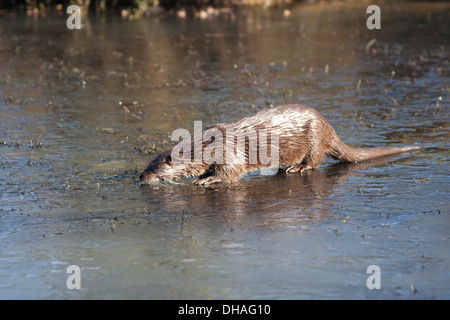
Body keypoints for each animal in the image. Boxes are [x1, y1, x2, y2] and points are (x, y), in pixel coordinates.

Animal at [139, 104, 420, 186]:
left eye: (153, 167)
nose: (140, 177)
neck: (207, 146)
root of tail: (327, 126)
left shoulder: (230, 153)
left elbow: (230, 172)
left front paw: (206, 180)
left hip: (314, 138)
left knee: (315, 160)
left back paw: (297, 168)